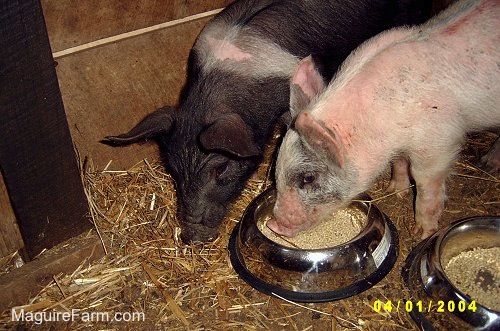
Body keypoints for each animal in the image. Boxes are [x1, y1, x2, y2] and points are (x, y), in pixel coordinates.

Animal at [270, 0, 500, 240]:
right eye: (275, 170)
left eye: (308, 178)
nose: (273, 225)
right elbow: (398, 162)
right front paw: (396, 191)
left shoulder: (439, 143)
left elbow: (425, 183)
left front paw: (423, 233)